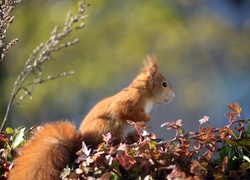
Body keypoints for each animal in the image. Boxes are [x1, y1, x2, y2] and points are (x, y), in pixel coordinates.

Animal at [8, 54, 175, 180]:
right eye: (164, 84)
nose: (173, 97)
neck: (144, 93)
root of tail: (81, 143)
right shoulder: (130, 101)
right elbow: (124, 111)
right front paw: (147, 119)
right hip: (109, 130)